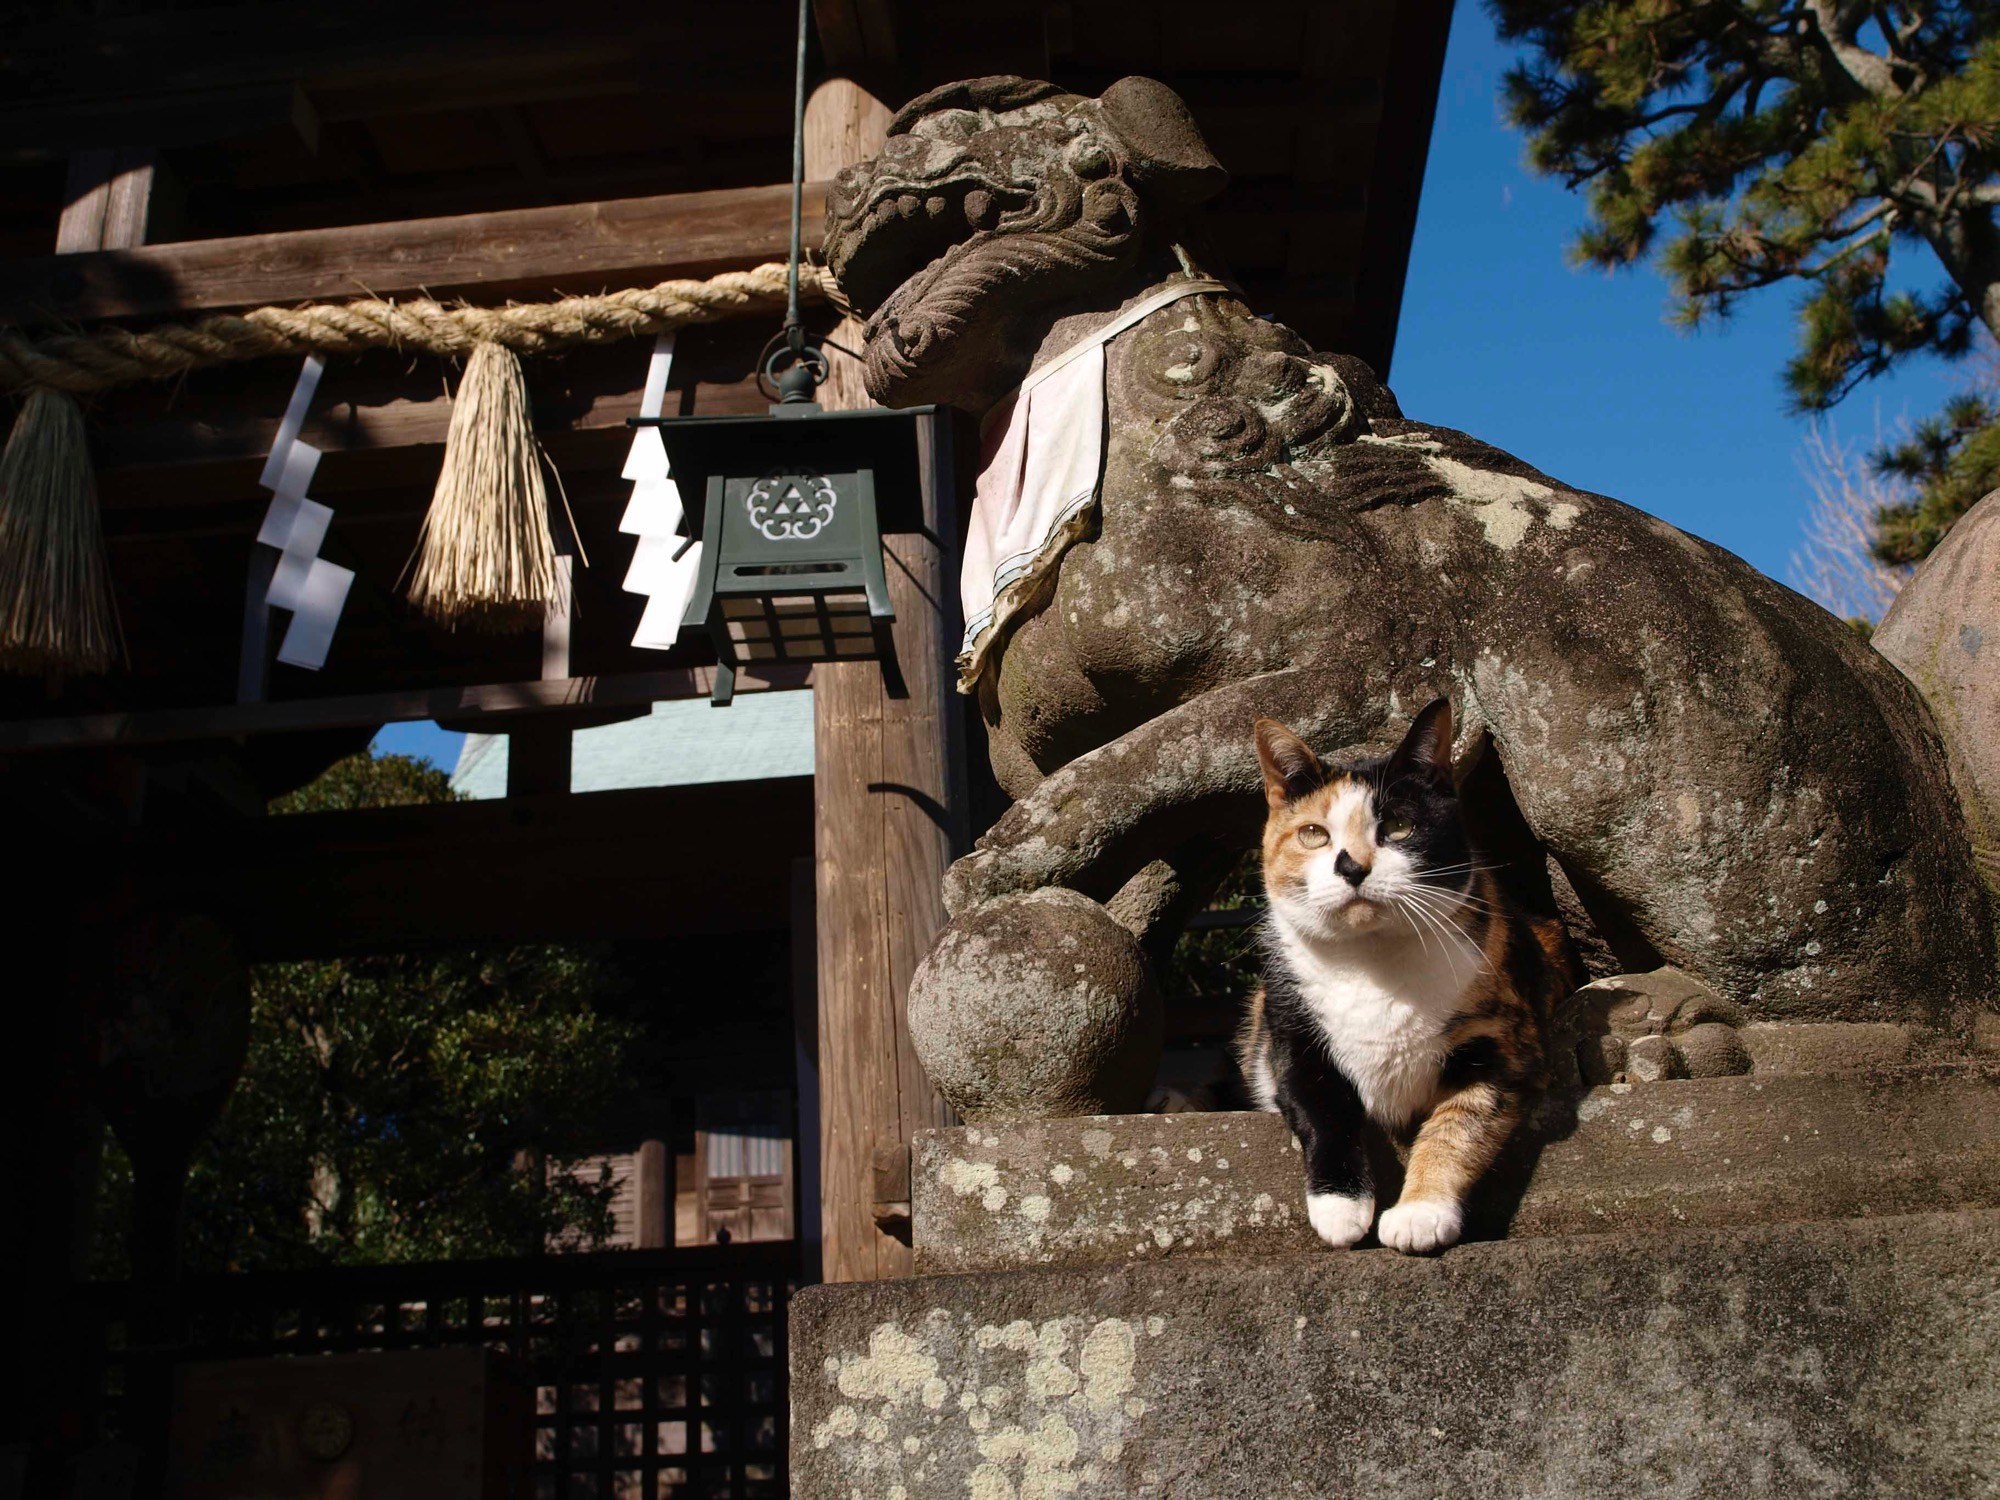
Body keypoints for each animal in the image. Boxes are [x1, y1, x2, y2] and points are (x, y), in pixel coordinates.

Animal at [1232, 704, 1576, 1256]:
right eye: (1314, 834)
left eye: (1397, 826)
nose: (1351, 866)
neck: (1373, 965)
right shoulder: (1290, 1038)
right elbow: (1322, 1109)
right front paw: (1340, 1209)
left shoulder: (1507, 1046)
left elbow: (1457, 1125)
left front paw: (1420, 1213)